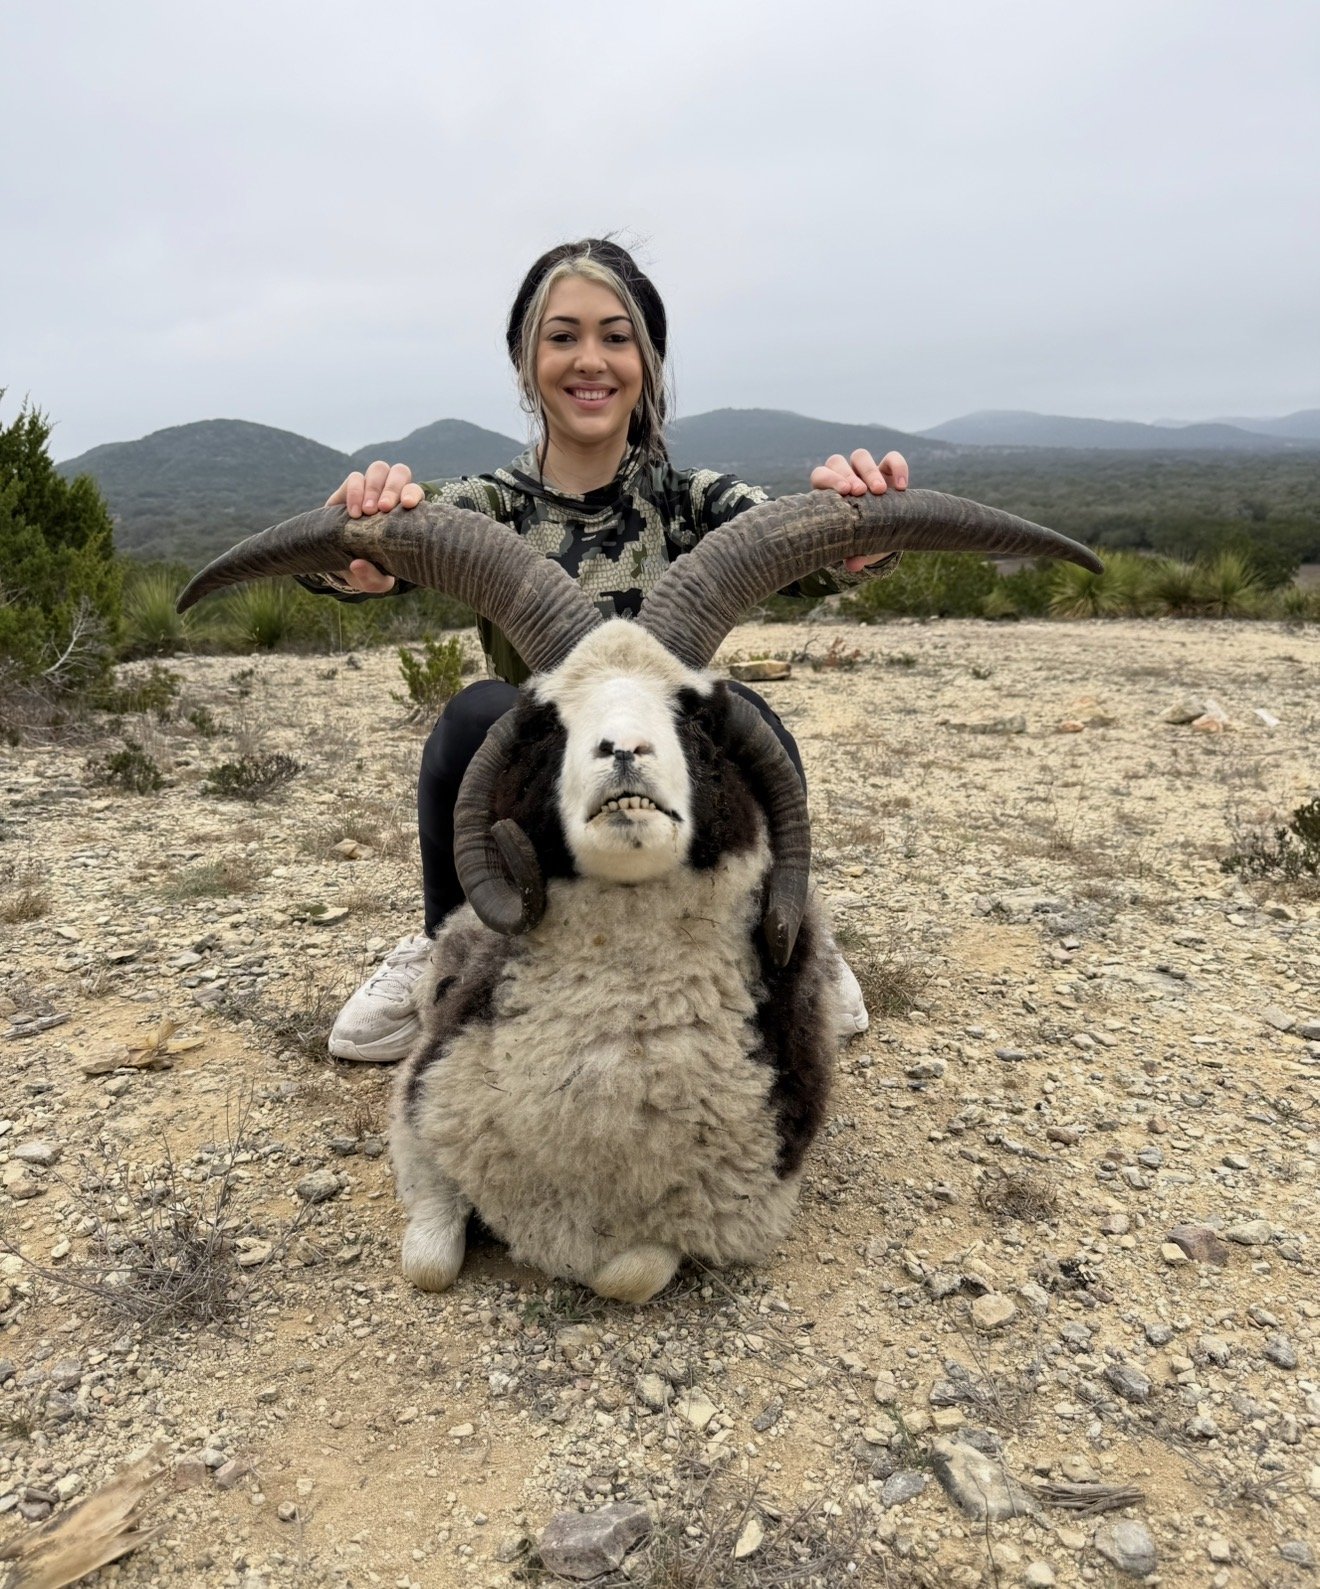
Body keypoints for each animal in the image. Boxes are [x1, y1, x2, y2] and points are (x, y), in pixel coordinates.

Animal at [178, 487, 1100, 1302]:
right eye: (547, 724)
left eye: (693, 715)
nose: (623, 750)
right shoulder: (420, 1126)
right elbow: (430, 1260)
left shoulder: (737, 1213)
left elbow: (629, 1273)